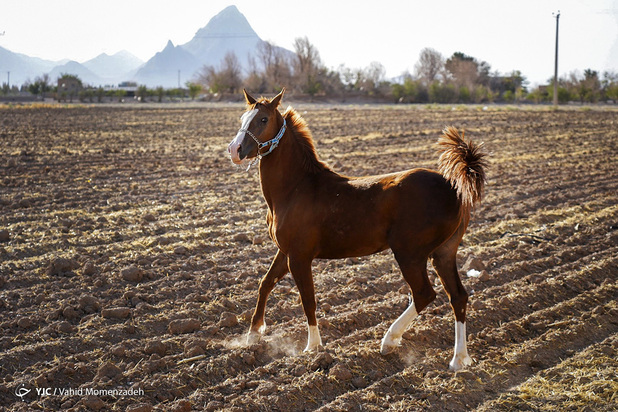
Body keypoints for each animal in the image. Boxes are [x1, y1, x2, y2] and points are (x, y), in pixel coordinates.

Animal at [226, 88, 486, 372]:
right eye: (242, 117)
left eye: (263, 119)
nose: (235, 150)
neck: (296, 189)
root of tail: (454, 187)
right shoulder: (285, 252)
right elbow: (265, 284)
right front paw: (252, 336)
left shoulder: (299, 256)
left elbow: (308, 299)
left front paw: (313, 348)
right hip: (443, 253)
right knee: (458, 296)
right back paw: (459, 359)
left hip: (410, 253)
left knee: (424, 294)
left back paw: (389, 341)